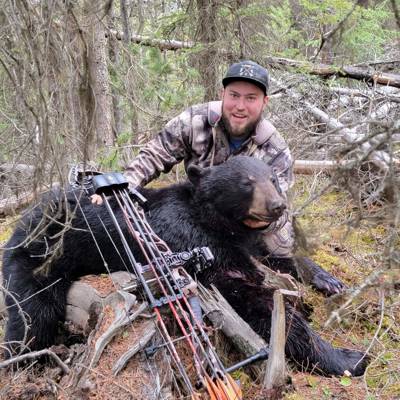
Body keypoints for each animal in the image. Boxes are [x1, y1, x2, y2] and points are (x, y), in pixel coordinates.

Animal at [2, 156, 368, 376]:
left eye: (273, 179)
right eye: (246, 182)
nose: (278, 206)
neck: (220, 223)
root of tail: (25, 218)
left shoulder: (246, 243)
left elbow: (280, 257)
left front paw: (328, 280)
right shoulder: (191, 241)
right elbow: (254, 297)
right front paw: (348, 358)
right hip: (39, 257)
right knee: (31, 316)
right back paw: (23, 362)